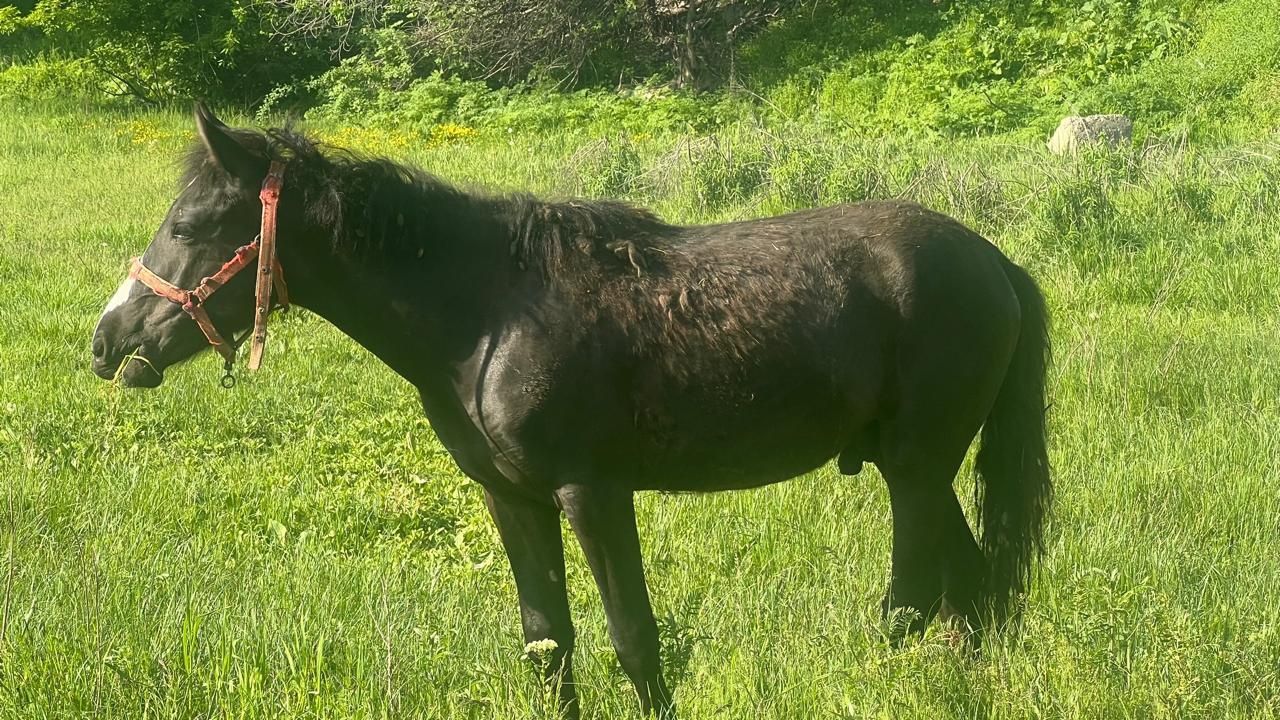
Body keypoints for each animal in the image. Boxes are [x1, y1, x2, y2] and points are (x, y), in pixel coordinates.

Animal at [90, 103, 1049, 712]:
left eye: (193, 224)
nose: (106, 340)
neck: (489, 314)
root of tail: (994, 259)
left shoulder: (593, 492)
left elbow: (635, 639)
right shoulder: (511, 499)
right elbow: (548, 643)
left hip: (916, 470)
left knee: (916, 602)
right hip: (916, 468)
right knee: (977, 592)